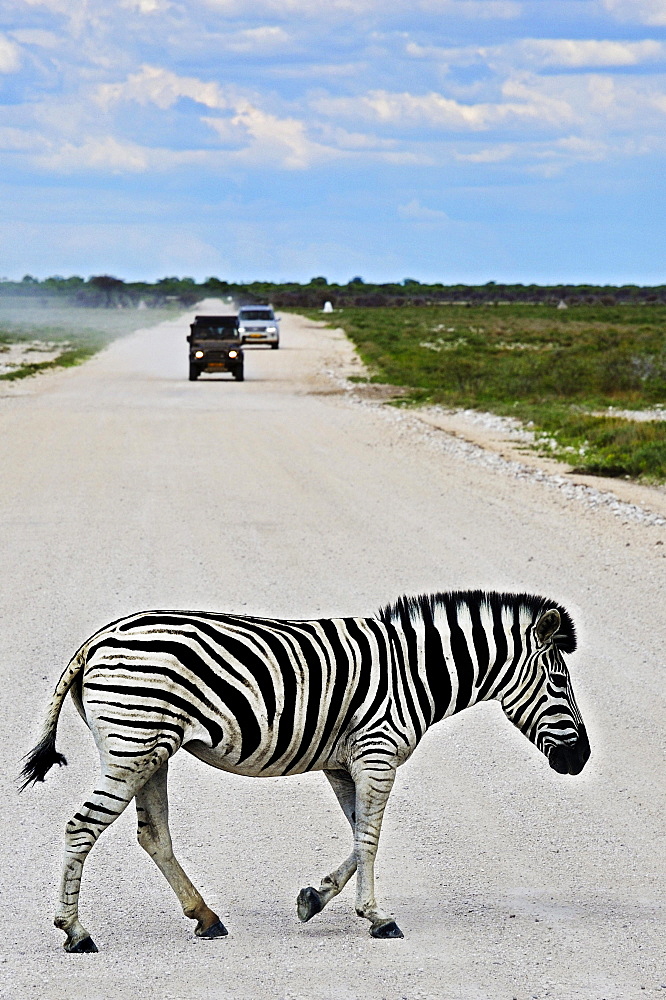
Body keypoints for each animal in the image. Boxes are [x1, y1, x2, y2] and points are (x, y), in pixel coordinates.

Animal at [20, 588, 588, 948]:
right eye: (560, 682)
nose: (580, 760)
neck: (415, 672)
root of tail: (97, 638)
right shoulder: (377, 753)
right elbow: (369, 840)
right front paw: (377, 918)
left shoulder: (344, 764)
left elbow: (359, 837)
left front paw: (315, 899)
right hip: (132, 747)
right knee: (81, 827)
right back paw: (76, 932)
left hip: (150, 752)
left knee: (152, 835)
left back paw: (206, 918)